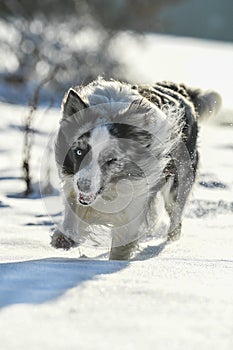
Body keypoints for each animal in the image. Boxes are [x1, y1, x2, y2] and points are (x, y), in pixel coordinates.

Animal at [50, 78, 221, 258]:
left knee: (175, 218)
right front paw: (63, 238)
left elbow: (122, 242)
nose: (83, 185)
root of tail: (180, 90)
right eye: (79, 152)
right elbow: (74, 210)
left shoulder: (136, 196)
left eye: (111, 159)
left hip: (179, 182)